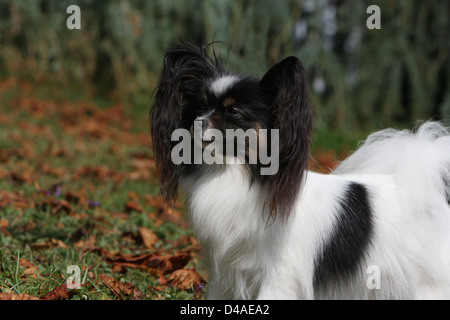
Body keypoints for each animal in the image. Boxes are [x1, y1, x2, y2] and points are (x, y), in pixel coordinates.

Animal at [150, 42, 450, 300]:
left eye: (233, 111)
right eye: (200, 107)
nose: (197, 123)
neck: (239, 173)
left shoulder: (280, 276)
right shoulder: (224, 272)